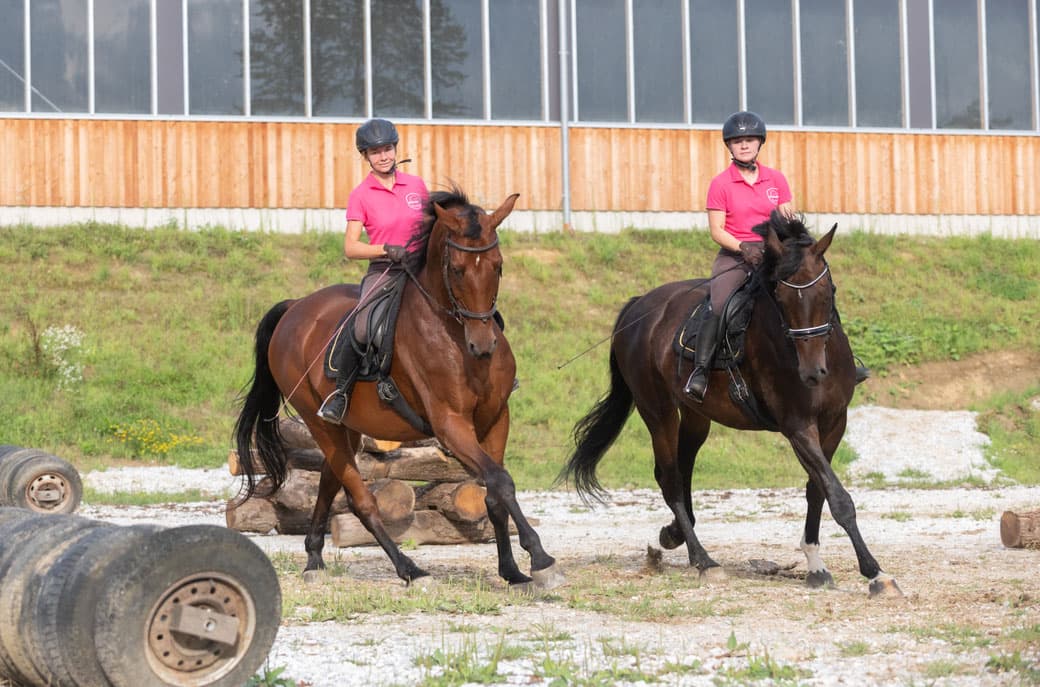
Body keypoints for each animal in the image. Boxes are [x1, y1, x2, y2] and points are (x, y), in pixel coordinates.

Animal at [234, 188, 563, 590]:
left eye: (498, 266)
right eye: (457, 270)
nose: (483, 346)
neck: (455, 335)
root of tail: (296, 307)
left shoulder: (496, 418)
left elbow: (496, 493)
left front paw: (512, 571)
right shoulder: (450, 424)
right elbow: (500, 481)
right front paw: (541, 559)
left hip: (347, 430)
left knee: (330, 481)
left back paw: (314, 560)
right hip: (320, 421)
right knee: (361, 500)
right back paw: (410, 569)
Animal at [559, 211, 900, 598]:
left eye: (827, 293)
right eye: (780, 297)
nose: (813, 373)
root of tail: (641, 304)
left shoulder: (834, 423)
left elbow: (818, 491)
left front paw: (815, 564)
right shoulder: (798, 427)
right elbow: (838, 497)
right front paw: (875, 573)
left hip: (696, 415)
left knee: (682, 469)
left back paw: (675, 534)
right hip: (656, 410)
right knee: (670, 478)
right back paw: (703, 561)